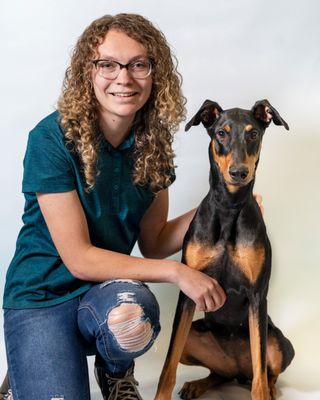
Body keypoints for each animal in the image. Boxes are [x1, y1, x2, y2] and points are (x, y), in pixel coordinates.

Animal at [155, 100, 296, 400]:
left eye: (253, 134)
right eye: (221, 133)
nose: (238, 173)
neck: (230, 206)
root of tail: (238, 369)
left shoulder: (257, 295)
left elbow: (260, 378)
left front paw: (264, 392)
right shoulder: (189, 293)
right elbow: (167, 367)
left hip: (280, 342)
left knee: (265, 372)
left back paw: (272, 389)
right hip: (196, 337)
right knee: (219, 373)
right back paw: (197, 384)